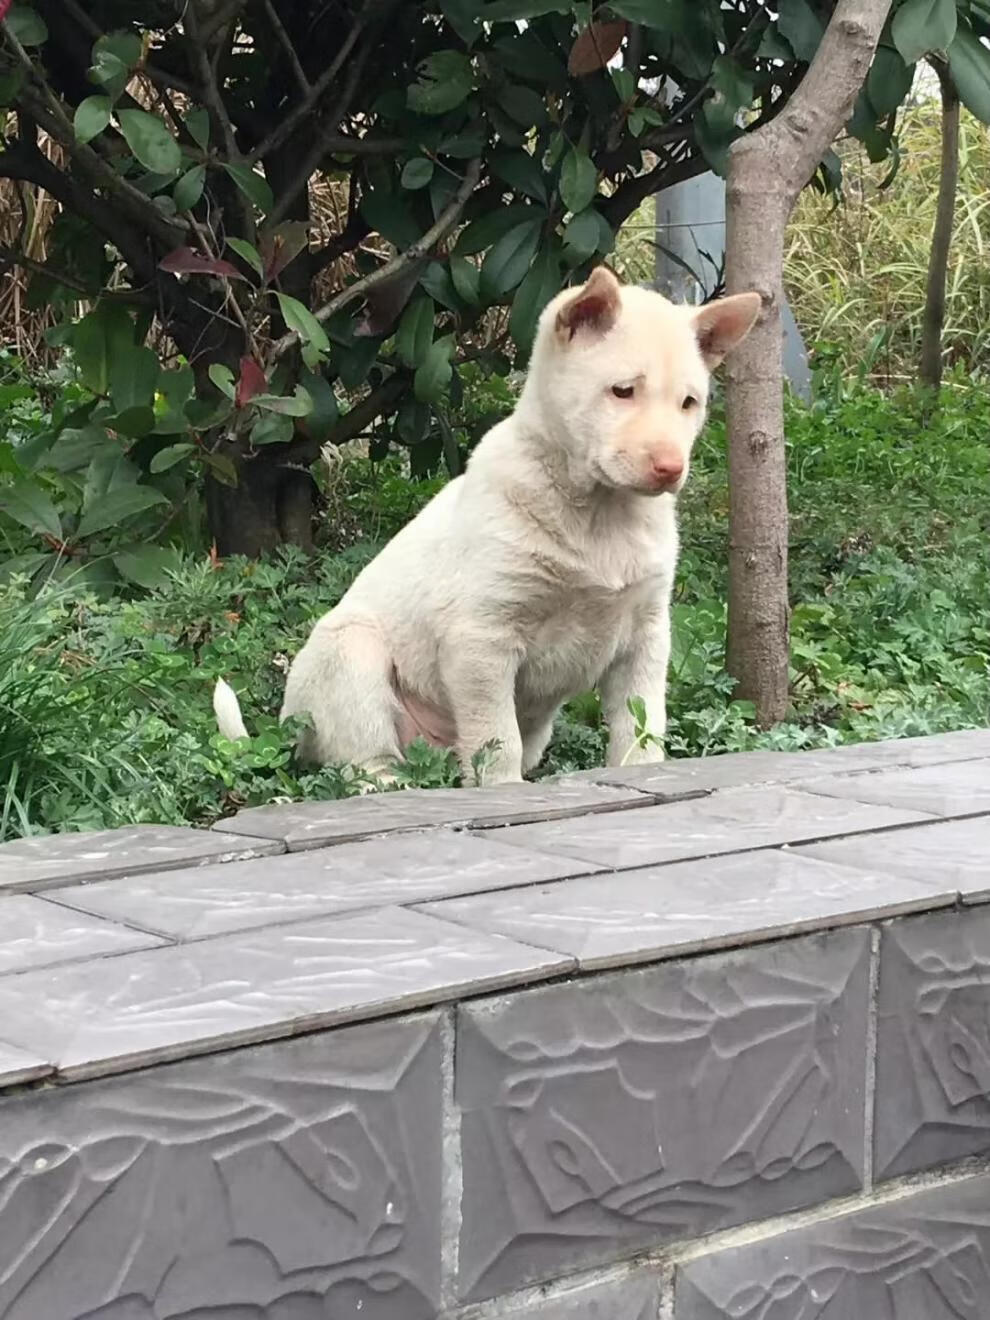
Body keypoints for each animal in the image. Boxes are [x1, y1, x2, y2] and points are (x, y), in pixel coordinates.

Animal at [216, 267, 760, 781]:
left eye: (689, 403)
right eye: (622, 391)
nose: (671, 468)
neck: (599, 515)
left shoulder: (645, 636)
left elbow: (640, 724)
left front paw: (642, 771)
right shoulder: (481, 638)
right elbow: (495, 738)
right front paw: (504, 789)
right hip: (352, 650)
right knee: (361, 757)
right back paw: (386, 780)